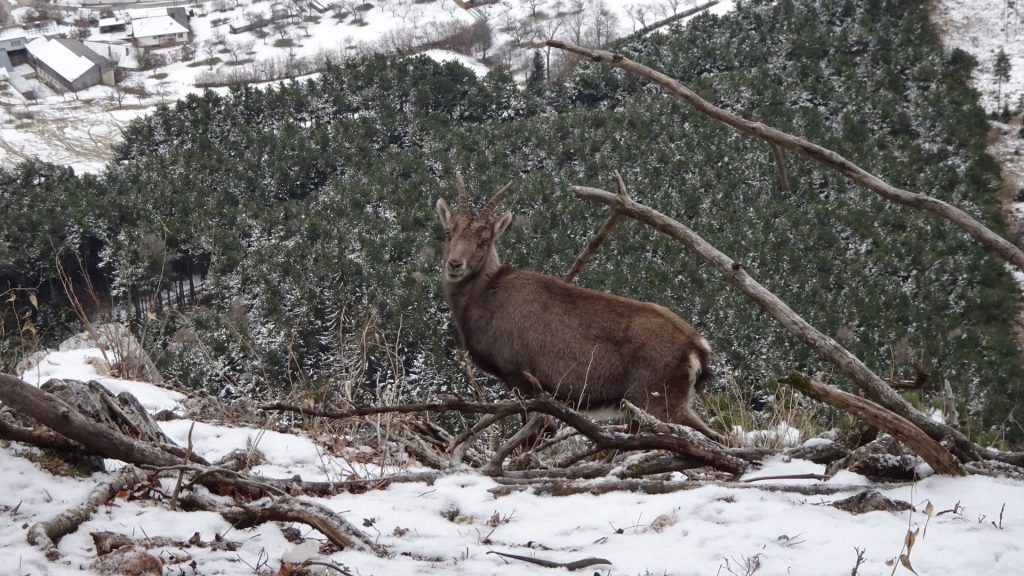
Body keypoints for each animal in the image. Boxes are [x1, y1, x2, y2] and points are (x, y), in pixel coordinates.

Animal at [436, 174, 724, 438]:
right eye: (449, 232)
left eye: (484, 240)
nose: (455, 264)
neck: (485, 296)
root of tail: (697, 347)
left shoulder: (521, 376)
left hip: (656, 399)